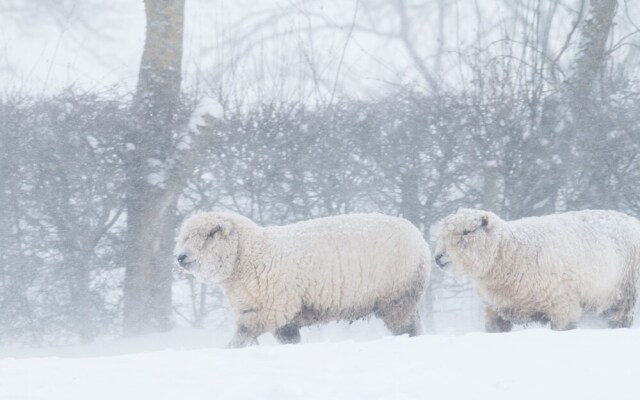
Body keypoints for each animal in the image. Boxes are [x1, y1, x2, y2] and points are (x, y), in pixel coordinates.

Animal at [172, 212, 430, 346]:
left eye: (210, 234)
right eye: (184, 236)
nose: (181, 257)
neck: (252, 255)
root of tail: (420, 237)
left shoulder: (275, 308)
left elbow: (243, 331)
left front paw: (229, 349)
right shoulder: (283, 319)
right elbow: (289, 339)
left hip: (397, 297)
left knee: (407, 328)